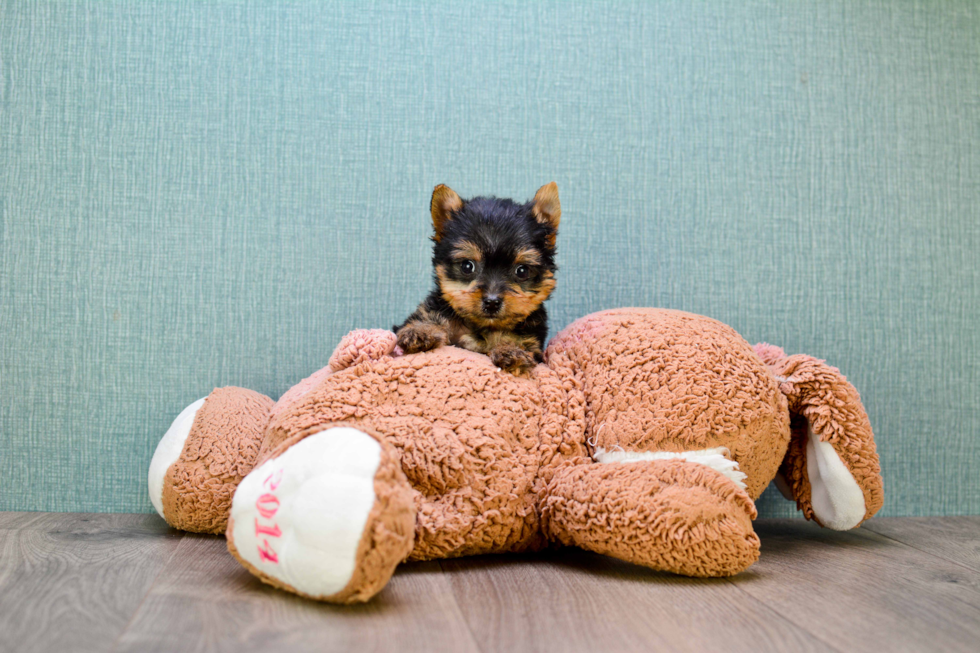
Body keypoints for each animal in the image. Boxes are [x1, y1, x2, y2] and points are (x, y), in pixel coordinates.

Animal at [390, 182, 560, 376]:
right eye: (467, 266)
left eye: (522, 271)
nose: (492, 302)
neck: (484, 326)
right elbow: (426, 317)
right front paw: (419, 331)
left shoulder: (531, 340)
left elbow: (517, 342)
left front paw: (512, 351)